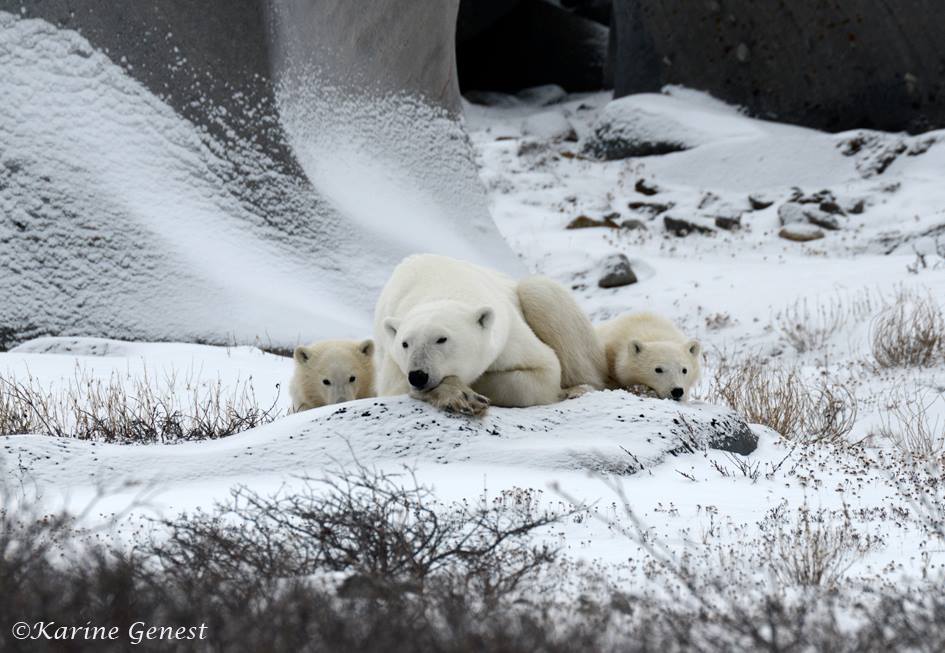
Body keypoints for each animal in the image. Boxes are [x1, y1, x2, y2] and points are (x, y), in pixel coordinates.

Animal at [373, 254, 604, 415]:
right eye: (405, 343)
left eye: (441, 339)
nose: (418, 375)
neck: (441, 287)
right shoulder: (392, 356)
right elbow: (394, 389)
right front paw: (461, 395)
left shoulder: (508, 334)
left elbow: (543, 369)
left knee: (540, 291)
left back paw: (578, 389)